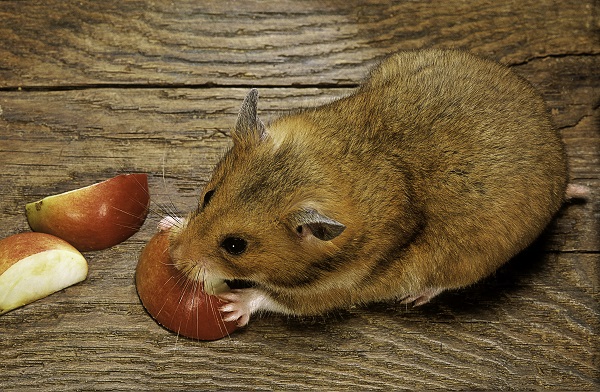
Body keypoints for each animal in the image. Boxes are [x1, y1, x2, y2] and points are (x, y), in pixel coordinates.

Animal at [163, 49, 572, 328]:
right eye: (208, 196)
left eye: (235, 246)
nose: (173, 256)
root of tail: (563, 167)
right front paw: (168, 224)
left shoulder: (336, 289)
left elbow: (272, 298)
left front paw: (233, 304)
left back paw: (416, 297)